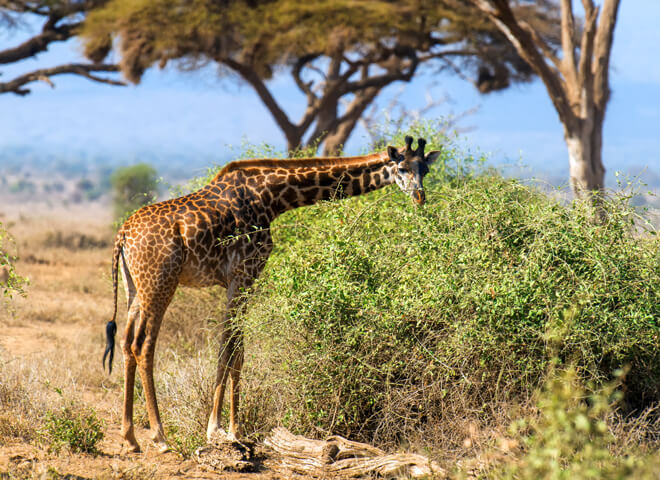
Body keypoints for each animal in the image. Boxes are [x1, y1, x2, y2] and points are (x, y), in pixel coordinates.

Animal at [103, 136, 440, 453]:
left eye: (425, 169)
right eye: (401, 168)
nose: (419, 198)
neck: (272, 197)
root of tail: (122, 234)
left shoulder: (240, 280)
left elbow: (237, 351)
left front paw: (232, 429)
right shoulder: (243, 275)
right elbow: (229, 350)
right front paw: (219, 430)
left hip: (135, 288)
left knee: (126, 343)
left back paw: (130, 437)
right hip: (160, 283)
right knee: (144, 346)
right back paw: (159, 437)